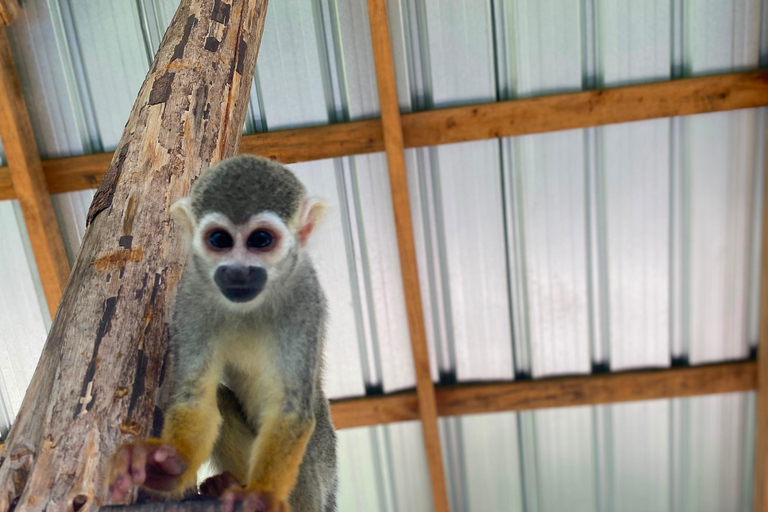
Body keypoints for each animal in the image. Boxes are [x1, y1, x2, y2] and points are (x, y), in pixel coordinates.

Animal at [107, 155, 338, 512]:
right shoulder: (190, 296)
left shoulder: (305, 296)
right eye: (219, 241)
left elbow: (289, 408)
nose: (237, 271)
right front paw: (164, 469)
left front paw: (261, 494)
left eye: (261, 240)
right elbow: (196, 397)